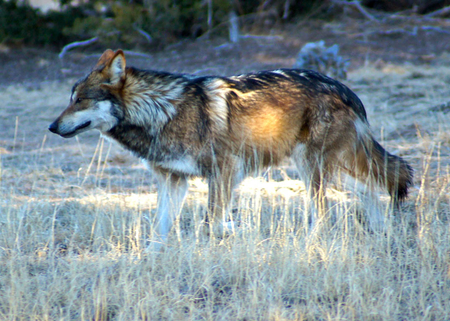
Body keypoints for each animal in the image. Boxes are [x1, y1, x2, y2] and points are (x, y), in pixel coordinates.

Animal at [48, 49, 412, 245]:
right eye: (70, 99)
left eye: (79, 101)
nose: (51, 127)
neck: (163, 110)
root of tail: (344, 88)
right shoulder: (172, 181)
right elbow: (159, 230)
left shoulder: (223, 173)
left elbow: (210, 224)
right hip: (336, 170)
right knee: (373, 190)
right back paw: (383, 235)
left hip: (313, 168)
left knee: (322, 214)